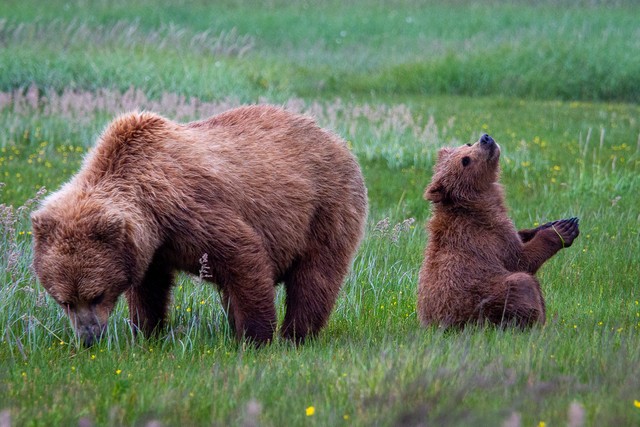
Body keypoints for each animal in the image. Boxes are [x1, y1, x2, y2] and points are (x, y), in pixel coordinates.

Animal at [31, 105, 368, 346]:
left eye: (97, 295)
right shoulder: (151, 247)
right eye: (65, 301)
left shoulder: (189, 211)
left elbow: (242, 254)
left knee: (315, 276)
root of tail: (335, 138)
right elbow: (150, 288)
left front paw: (256, 337)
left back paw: (296, 335)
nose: (88, 337)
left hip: (326, 207)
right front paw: (146, 332)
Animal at [417, 134, 579, 328]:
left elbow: (520, 236)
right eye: (465, 160)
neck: (479, 204)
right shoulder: (485, 237)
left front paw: (549, 224)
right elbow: (521, 260)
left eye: (467, 144)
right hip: (483, 302)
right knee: (522, 284)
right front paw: (563, 230)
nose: (485, 138)